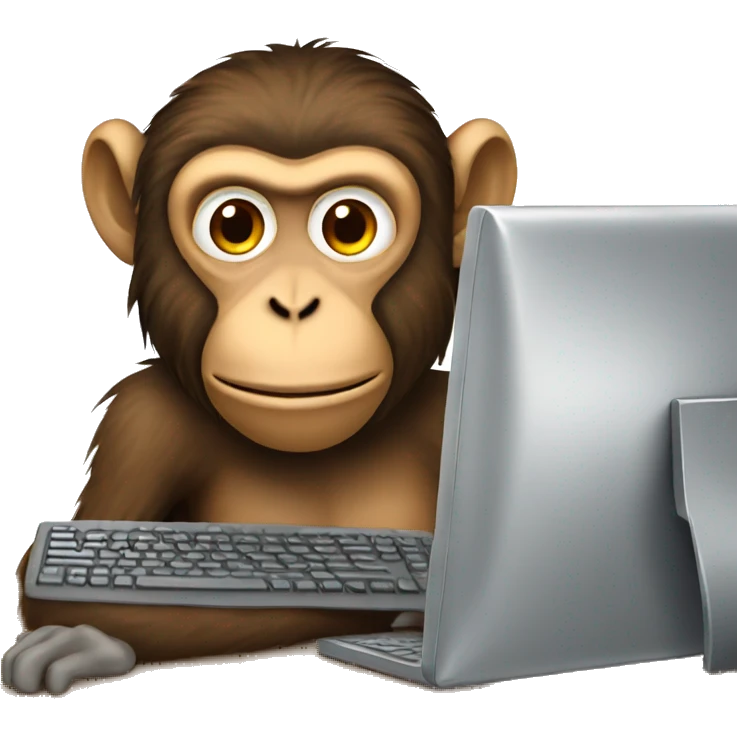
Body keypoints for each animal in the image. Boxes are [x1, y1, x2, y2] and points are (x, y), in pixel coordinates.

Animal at [3, 41, 517, 695]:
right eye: (234, 226)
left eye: (349, 226)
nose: (294, 304)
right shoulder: (142, 424)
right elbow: (65, 589)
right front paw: (83, 637)